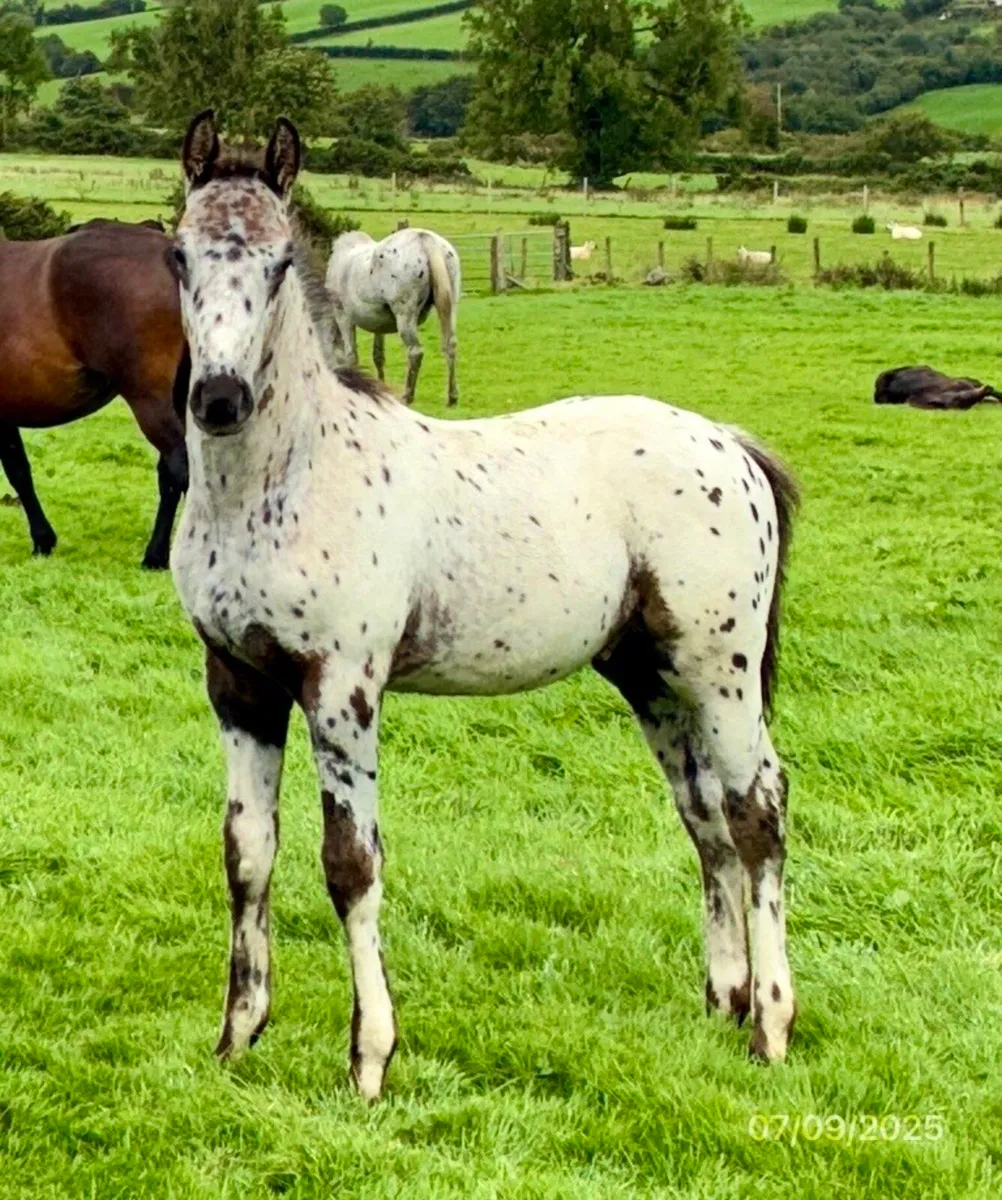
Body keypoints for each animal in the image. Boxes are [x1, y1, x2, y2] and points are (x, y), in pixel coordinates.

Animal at [325, 227, 460, 407]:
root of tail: (424, 239)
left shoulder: (343, 317)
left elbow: (351, 357)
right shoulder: (377, 325)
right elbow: (378, 357)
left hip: (405, 318)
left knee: (415, 352)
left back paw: (407, 396)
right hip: (449, 310)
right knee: (450, 345)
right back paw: (452, 397)